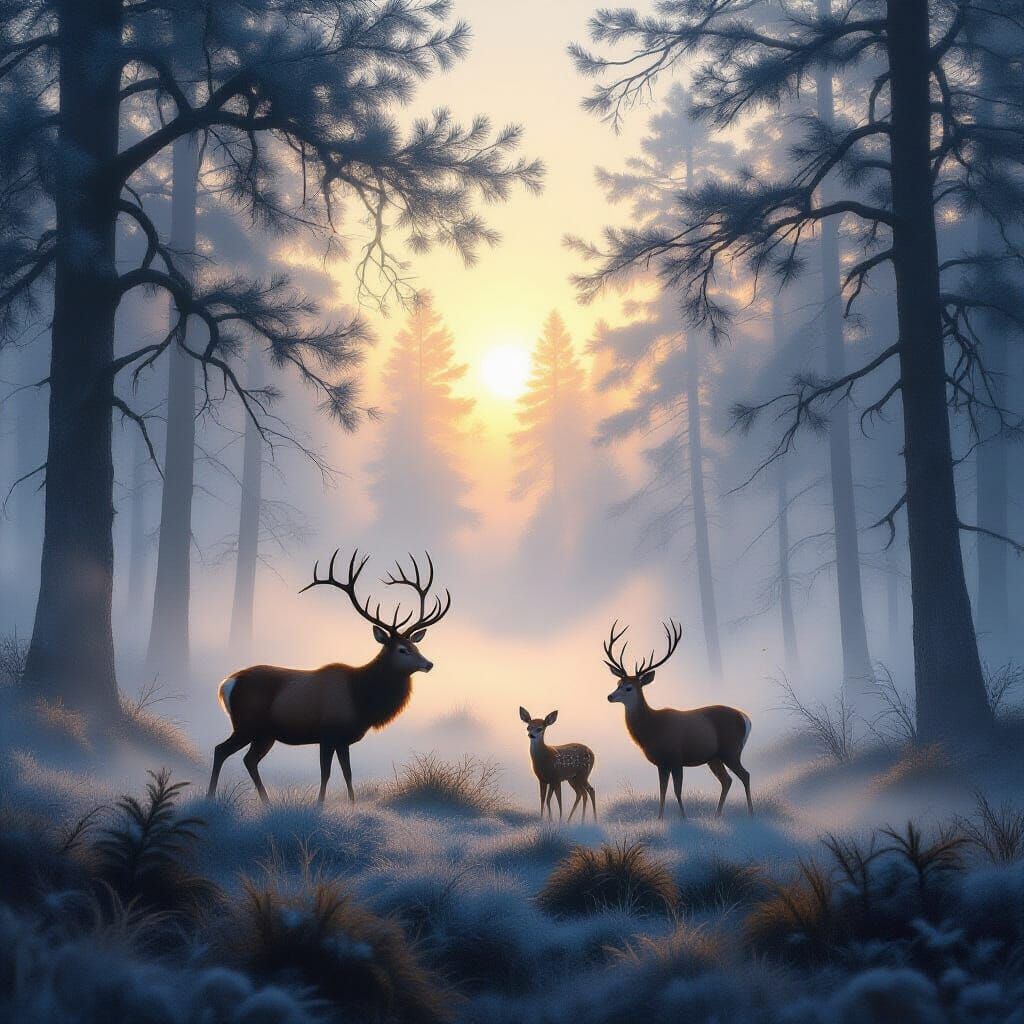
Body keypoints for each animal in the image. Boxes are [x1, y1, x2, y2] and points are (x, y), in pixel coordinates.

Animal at [207, 549, 451, 805]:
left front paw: (351, 805)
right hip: (247, 724)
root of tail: (227, 684)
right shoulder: (328, 733)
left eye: (415, 645)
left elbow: (347, 774)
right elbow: (326, 773)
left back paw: (266, 802)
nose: (429, 664)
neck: (361, 699)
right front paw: (319, 805)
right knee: (221, 750)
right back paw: (211, 797)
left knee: (249, 760)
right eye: (402, 649)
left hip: (264, 733)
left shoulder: (343, 739)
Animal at [603, 620, 753, 819]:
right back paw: (717, 815)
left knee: (745, 775)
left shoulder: (676, 757)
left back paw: (751, 814)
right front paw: (660, 819)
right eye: (618, 683)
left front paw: (684, 818)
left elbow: (677, 791)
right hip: (714, 757)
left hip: (731, 750)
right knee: (727, 780)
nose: (610, 696)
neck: (652, 729)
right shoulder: (661, 763)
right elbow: (662, 792)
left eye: (629, 687)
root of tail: (746, 719)